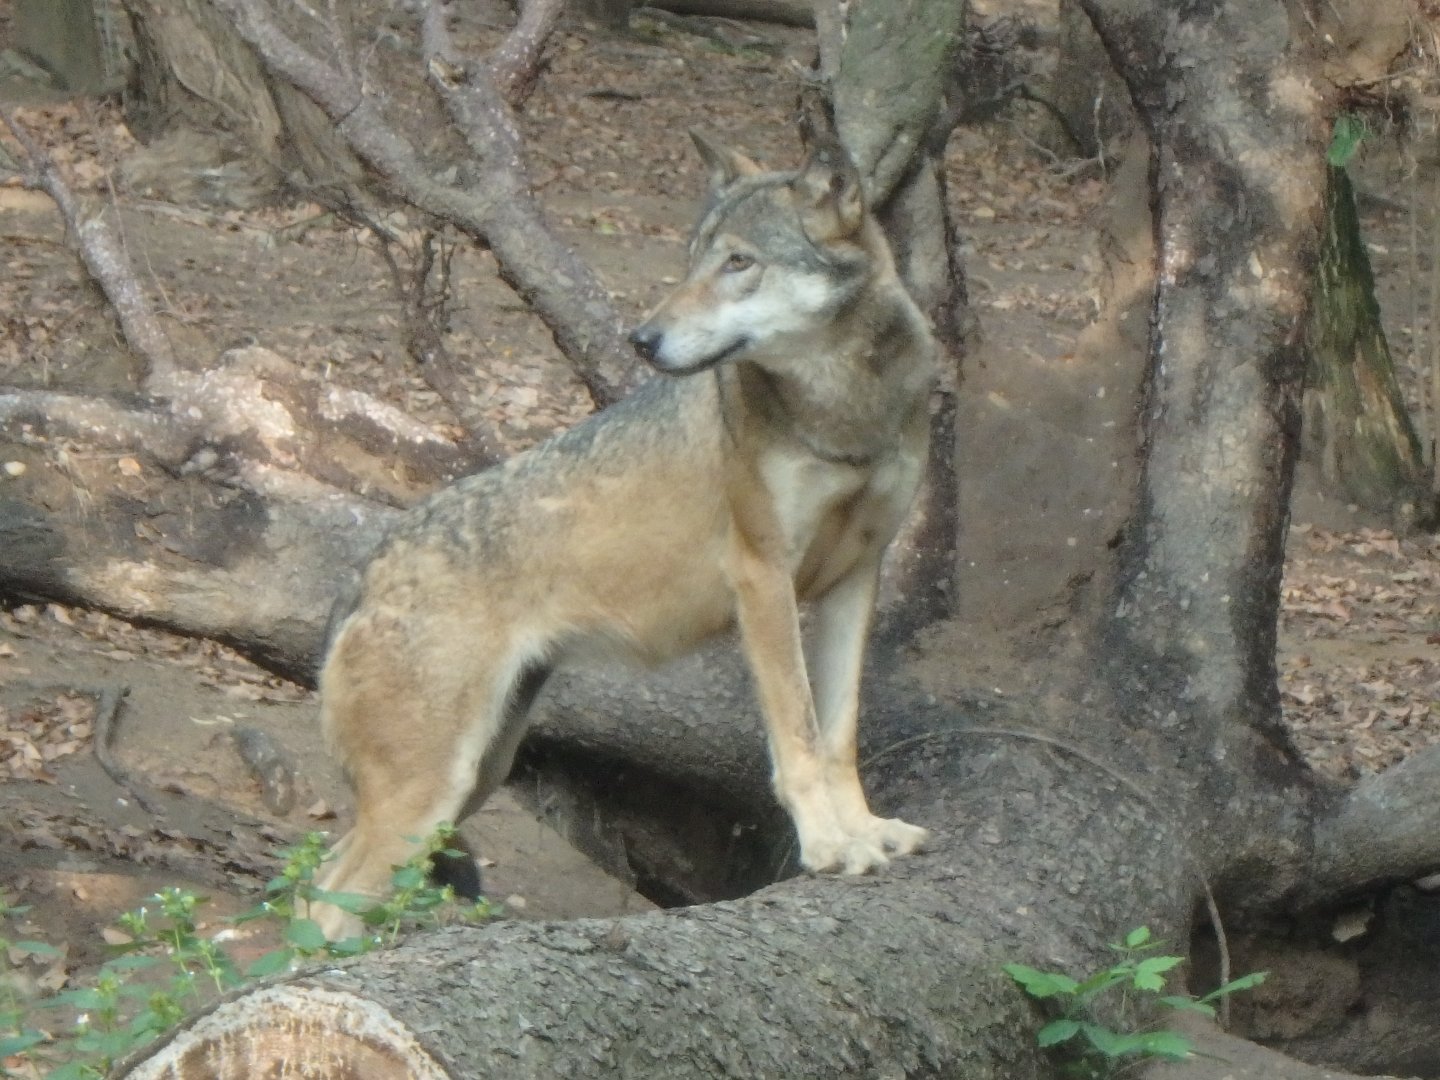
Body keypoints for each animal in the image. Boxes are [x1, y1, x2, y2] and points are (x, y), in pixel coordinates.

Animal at [311, 130, 937, 938]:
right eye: (692, 259)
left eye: (738, 262)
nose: (643, 339)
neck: (845, 415)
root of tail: (366, 571)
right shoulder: (762, 575)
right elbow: (797, 735)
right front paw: (830, 845)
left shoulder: (857, 579)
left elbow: (839, 734)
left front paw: (866, 831)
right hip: (432, 793)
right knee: (326, 903)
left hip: (473, 778)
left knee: (322, 878)